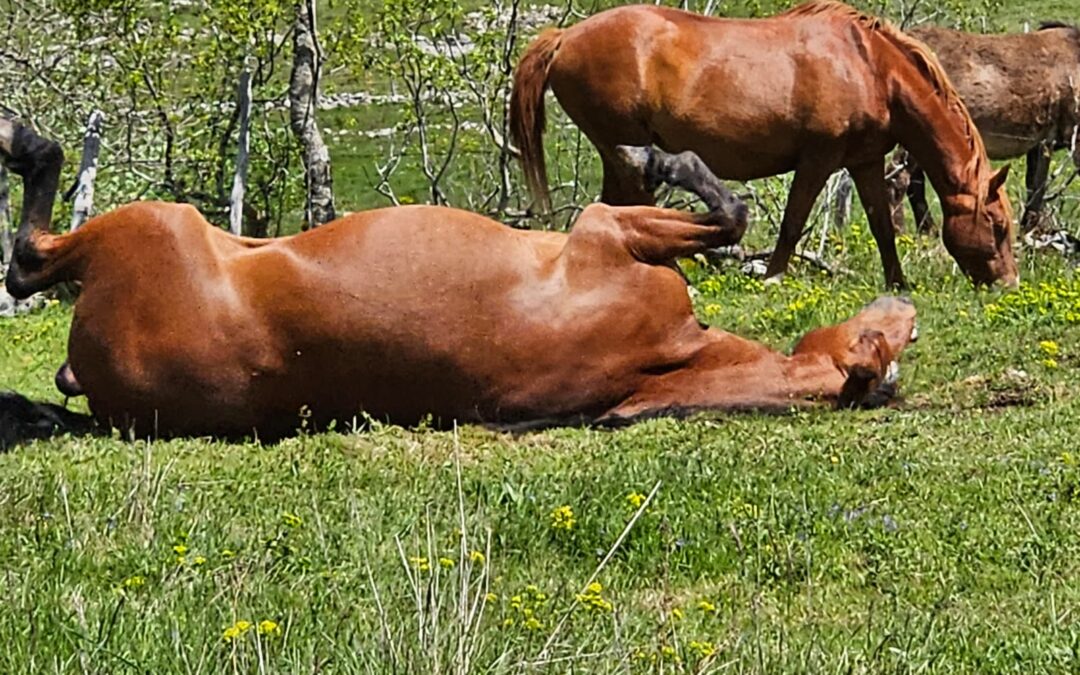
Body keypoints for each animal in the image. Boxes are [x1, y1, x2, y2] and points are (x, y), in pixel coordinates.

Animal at [1, 118, 916, 439]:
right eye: (880, 342)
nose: (904, 308)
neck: (667, 356)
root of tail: (91, 376)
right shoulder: (609, 232)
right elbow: (734, 216)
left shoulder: (603, 229)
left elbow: (732, 214)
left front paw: (662, 157)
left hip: (153, 223)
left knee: (28, 260)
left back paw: (25, 141)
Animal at [510, 0, 1017, 289]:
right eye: (997, 226)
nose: (1008, 284)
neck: (869, 66)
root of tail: (564, 37)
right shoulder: (818, 159)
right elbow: (792, 224)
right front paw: (773, 278)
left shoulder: (866, 162)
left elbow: (881, 227)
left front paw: (899, 285)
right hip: (624, 149)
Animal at [893, 22, 1080, 233]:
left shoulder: (1040, 142)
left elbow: (1034, 188)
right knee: (898, 179)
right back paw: (901, 233)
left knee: (913, 183)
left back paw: (927, 231)